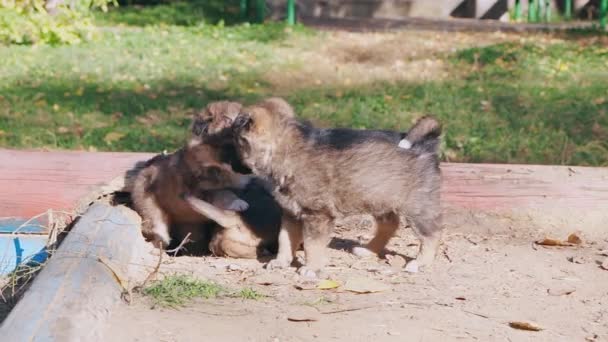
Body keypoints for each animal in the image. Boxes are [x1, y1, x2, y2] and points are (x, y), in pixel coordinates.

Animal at [232, 97, 442, 276]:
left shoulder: (317, 215)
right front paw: (281, 262)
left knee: (430, 235)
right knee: (389, 225)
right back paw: (369, 250)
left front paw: (311, 268)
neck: (282, 148)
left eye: (235, 143)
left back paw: (420, 263)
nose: (232, 166)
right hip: (377, 195)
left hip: (415, 205)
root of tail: (426, 145)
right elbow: (285, 239)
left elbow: (311, 245)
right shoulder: (290, 213)